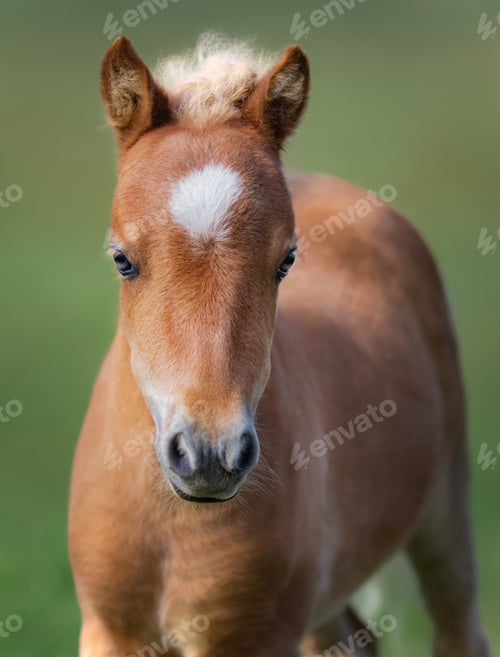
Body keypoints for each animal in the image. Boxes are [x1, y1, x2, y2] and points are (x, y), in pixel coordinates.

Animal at [69, 34, 490, 657]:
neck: (173, 524)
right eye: (122, 259)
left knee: (459, 625)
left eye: (286, 260)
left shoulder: (257, 637)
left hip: (444, 514)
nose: (210, 455)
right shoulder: (110, 631)